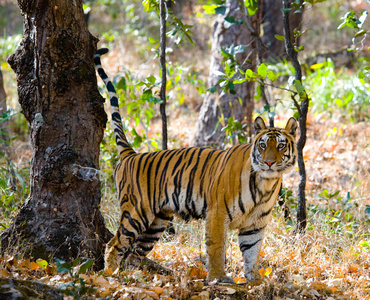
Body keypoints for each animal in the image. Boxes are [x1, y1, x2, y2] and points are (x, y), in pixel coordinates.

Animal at [93, 47, 298, 284]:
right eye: (263, 145)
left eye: (281, 145)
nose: (269, 162)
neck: (265, 183)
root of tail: (130, 155)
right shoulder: (217, 213)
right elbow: (217, 248)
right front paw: (219, 278)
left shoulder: (255, 225)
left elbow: (252, 253)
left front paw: (254, 280)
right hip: (136, 212)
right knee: (114, 244)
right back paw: (109, 276)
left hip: (156, 223)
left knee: (134, 253)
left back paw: (134, 278)